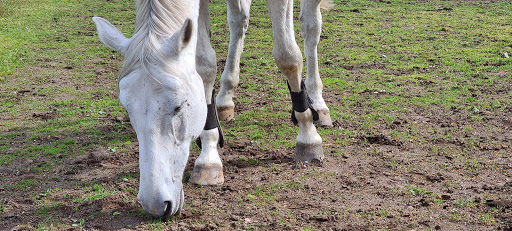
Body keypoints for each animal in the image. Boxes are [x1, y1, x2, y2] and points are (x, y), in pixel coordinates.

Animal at [92, 0, 332, 219]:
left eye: (179, 106)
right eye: (127, 108)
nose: (155, 204)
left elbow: (288, 56)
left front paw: (308, 137)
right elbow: (204, 64)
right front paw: (208, 157)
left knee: (310, 26)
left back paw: (318, 104)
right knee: (239, 21)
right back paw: (225, 99)